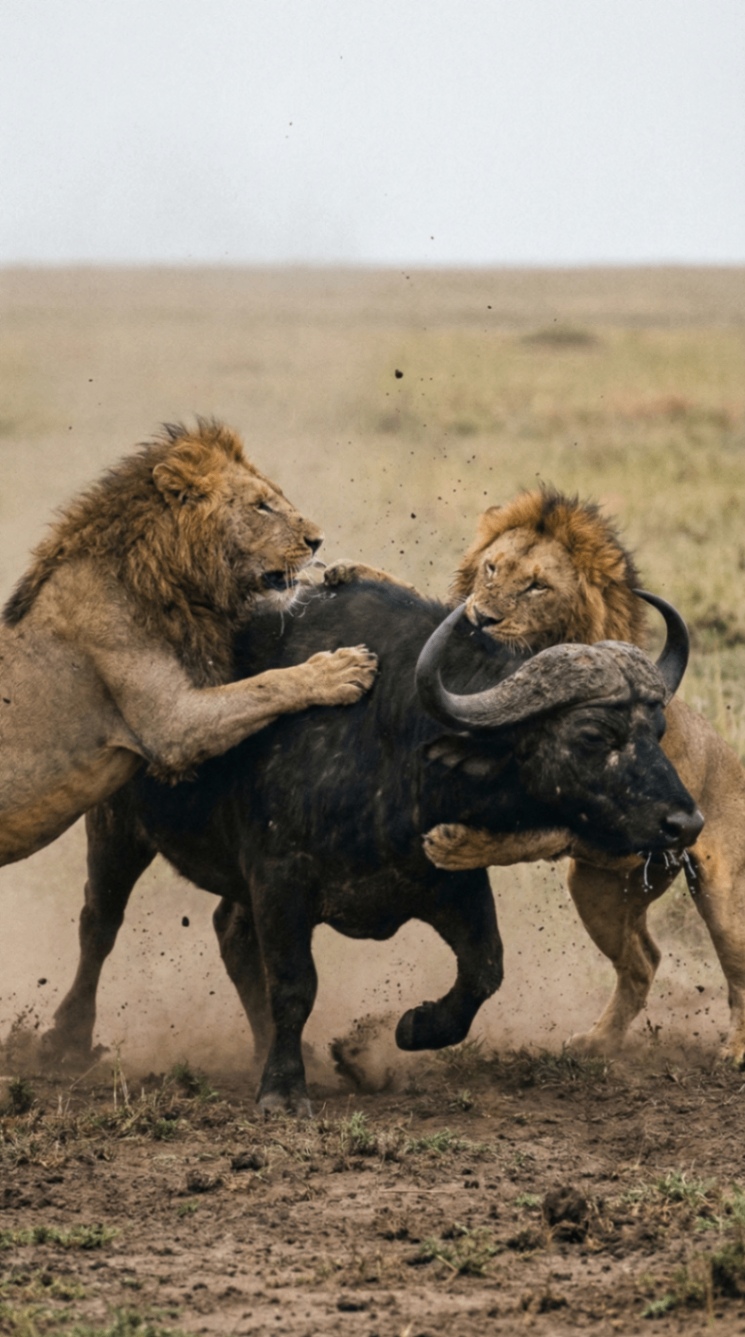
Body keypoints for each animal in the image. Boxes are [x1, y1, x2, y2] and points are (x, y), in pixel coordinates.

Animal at [0, 419, 377, 867]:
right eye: (261, 506)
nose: (318, 540)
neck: (171, 575)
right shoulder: (171, 727)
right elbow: (266, 685)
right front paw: (336, 671)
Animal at [326, 488, 745, 1065]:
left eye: (536, 586)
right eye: (491, 568)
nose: (479, 618)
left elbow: (527, 833)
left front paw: (455, 844)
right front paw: (347, 569)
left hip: (722, 895)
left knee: (735, 967)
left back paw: (735, 1051)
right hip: (596, 890)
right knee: (644, 960)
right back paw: (595, 1042)